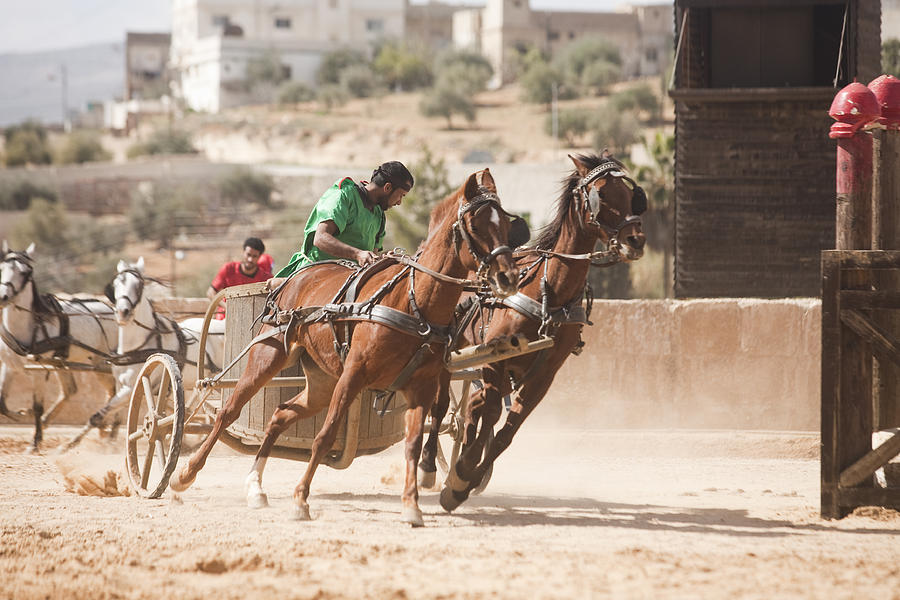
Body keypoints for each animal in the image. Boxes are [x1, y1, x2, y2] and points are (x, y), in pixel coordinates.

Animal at [0, 240, 118, 450]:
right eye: (2, 268)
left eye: (25, 273)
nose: (3, 296)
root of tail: (111, 310)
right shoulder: (9, 366)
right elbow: (2, 405)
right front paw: (22, 414)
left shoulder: (38, 371)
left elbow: (38, 406)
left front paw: (35, 441)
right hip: (63, 363)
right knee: (71, 390)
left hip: (102, 364)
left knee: (116, 390)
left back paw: (110, 432)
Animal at [65, 258, 223, 446]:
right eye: (116, 284)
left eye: (138, 285)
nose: (123, 312)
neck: (137, 347)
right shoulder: (122, 385)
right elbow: (115, 415)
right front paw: (106, 442)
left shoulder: (130, 388)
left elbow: (99, 415)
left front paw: (69, 444)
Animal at [171, 168, 520, 524]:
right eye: (476, 225)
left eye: (506, 225)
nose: (508, 277)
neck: (414, 304)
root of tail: (295, 279)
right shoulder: (354, 374)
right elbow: (324, 436)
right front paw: (300, 499)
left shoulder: (421, 386)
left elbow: (413, 442)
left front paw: (412, 504)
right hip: (269, 354)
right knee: (229, 411)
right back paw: (184, 474)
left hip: (322, 381)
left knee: (281, 415)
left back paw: (255, 486)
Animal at [422, 152, 648, 508]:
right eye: (600, 194)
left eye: (631, 194)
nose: (635, 240)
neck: (548, 293)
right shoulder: (496, 360)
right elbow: (488, 416)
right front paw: (461, 472)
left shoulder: (544, 375)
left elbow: (505, 434)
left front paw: (461, 482)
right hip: (449, 354)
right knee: (443, 404)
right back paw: (430, 463)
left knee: (472, 408)